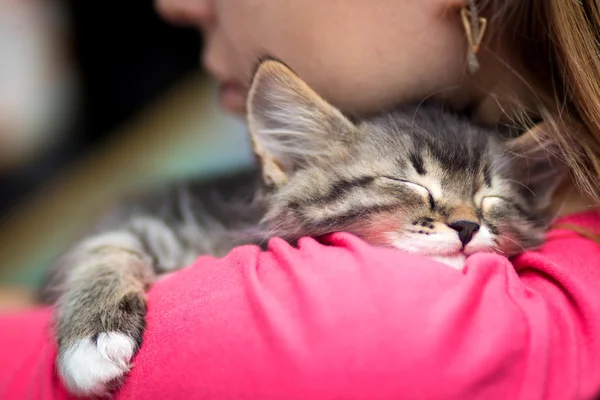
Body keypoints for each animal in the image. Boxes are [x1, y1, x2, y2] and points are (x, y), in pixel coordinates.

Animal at [42, 61, 564, 396]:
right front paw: (92, 340)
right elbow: (103, 253)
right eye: (408, 183)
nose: (467, 225)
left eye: (492, 198)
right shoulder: (137, 218)